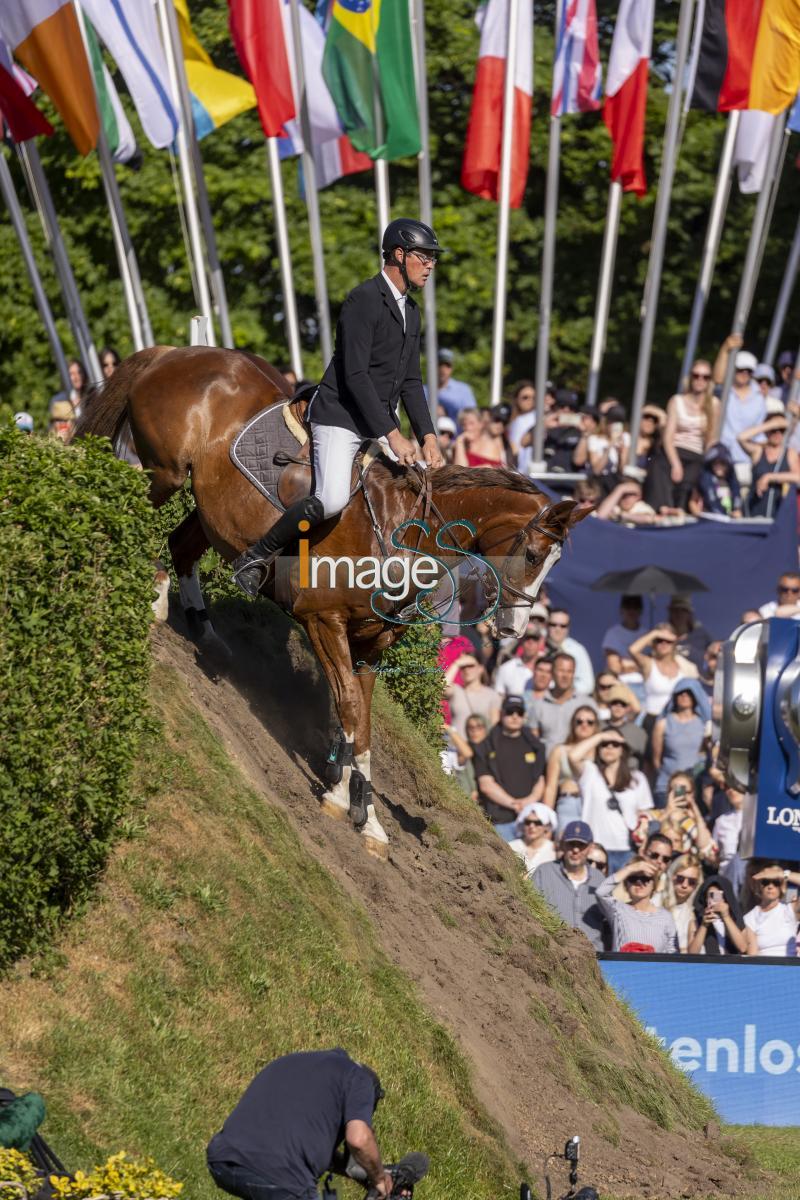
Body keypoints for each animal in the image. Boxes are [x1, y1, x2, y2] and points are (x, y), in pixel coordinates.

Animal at [74, 343, 587, 859]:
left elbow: (359, 725)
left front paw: (359, 809)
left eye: (554, 563)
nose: (513, 630)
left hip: (209, 505)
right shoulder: (323, 622)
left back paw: (202, 627)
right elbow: (348, 708)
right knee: (129, 507)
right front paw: (349, 805)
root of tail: (179, 352)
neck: (404, 533)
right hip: (165, 473)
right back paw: (148, 592)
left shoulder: (370, 645)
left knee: (182, 546)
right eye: (532, 554)